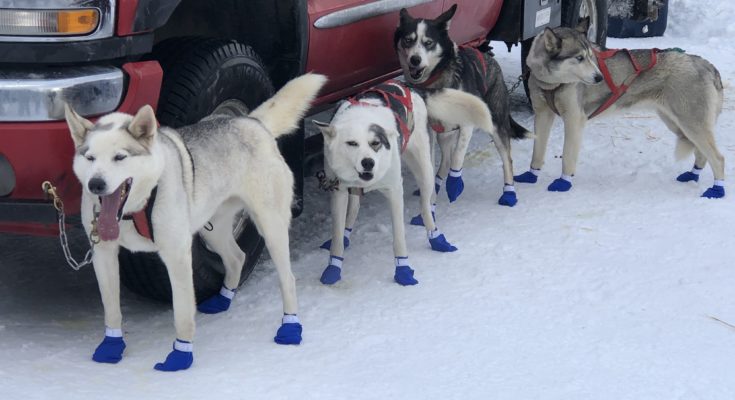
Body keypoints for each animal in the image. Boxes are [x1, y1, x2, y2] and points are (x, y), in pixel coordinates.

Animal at [64, 73, 327, 371]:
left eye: (120, 157)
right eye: (89, 158)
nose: (95, 184)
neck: (135, 208)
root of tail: (251, 122)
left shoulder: (177, 256)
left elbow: (182, 313)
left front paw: (181, 354)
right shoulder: (104, 255)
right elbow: (111, 309)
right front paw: (111, 345)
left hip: (270, 226)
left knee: (288, 279)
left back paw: (290, 327)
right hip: (212, 229)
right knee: (236, 257)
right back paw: (223, 299)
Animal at [313, 80, 498, 286]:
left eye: (375, 143)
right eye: (351, 143)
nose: (368, 163)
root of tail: (410, 86)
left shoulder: (394, 191)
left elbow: (399, 237)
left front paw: (403, 270)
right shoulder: (338, 192)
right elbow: (337, 237)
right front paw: (333, 266)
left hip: (424, 168)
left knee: (426, 205)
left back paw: (436, 238)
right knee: (353, 210)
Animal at [394, 4, 531, 209]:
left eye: (428, 43)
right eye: (407, 41)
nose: (414, 60)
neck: (436, 81)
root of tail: (491, 60)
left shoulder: (467, 125)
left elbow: (458, 156)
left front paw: (454, 183)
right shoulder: (429, 130)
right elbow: (434, 161)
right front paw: (431, 193)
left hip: (495, 124)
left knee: (506, 159)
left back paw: (509, 192)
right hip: (444, 132)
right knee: (444, 160)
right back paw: (437, 182)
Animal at [516, 21, 725, 198]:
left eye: (590, 57)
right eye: (579, 58)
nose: (599, 77)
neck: (552, 84)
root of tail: (707, 65)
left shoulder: (574, 120)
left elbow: (567, 157)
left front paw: (563, 182)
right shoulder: (542, 115)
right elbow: (537, 151)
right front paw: (531, 175)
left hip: (690, 124)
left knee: (718, 158)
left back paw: (717, 189)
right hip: (678, 124)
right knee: (702, 153)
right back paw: (693, 175)